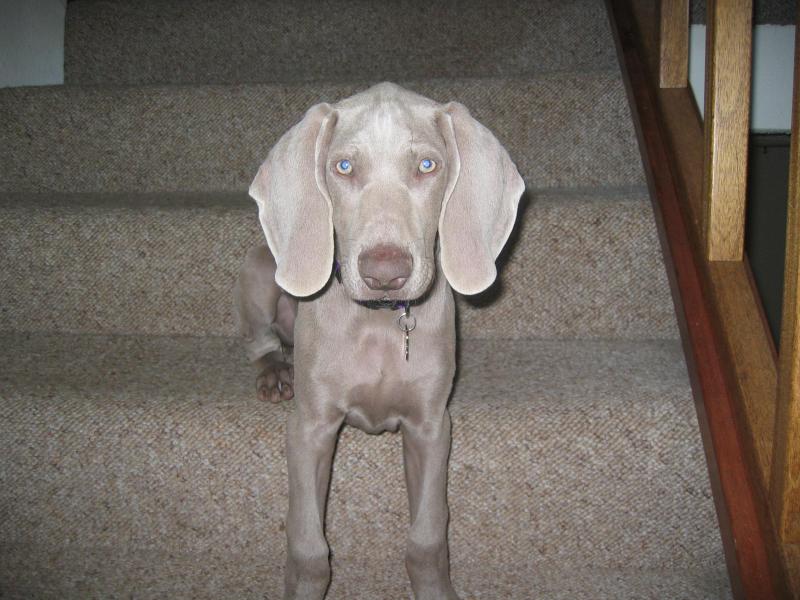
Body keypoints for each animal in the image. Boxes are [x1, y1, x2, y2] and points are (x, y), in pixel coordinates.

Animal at [233, 81, 524, 600]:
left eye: (427, 165)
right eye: (344, 167)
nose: (385, 274)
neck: (381, 324)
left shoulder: (431, 427)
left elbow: (427, 538)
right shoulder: (308, 428)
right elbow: (308, 548)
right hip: (261, 266)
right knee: (258, 337)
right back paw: (274, 371)